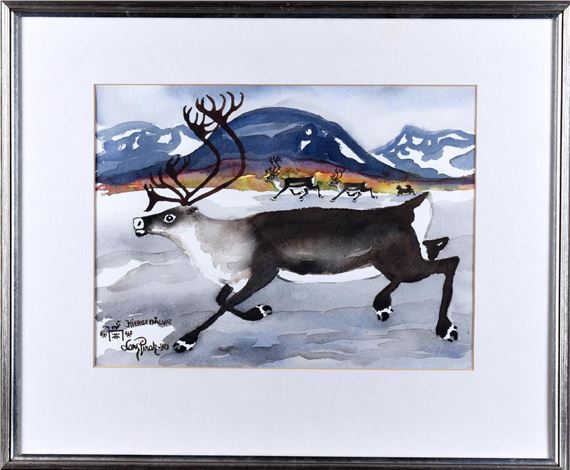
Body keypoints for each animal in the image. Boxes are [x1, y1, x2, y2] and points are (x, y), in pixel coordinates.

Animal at [132, 92, 460, 354]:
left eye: (170, 216)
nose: (138, 221)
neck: (221, 248)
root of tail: (409, 208)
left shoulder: (264, 270)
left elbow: (223, 304)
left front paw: (186, 340)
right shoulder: (234, 279)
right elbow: (219, 299)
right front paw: (260, 310)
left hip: (400, 260)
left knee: (448, 263)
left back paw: (441, 326)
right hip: (405, 255)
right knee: (435, 247)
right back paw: (386, 304)